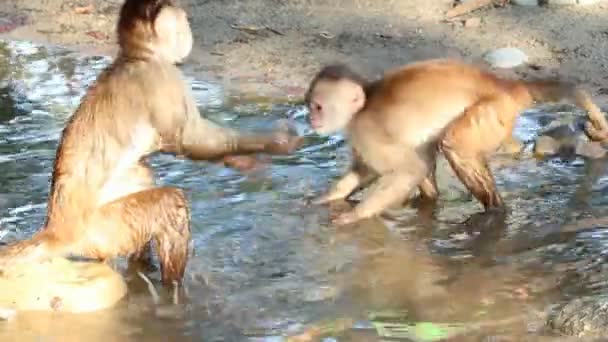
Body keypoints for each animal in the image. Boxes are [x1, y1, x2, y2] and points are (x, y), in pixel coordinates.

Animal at [0, 0, 304, 284]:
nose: (189, 29)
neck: (137, 57)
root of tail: (56, 230)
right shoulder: (162, 77)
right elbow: (187, 140)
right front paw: (275, 142)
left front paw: (243, 160)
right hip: (101, 230)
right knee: (170, 202)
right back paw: (173, 288)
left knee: (142, 173)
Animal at [304, 58, 608, 226]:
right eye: (309, 105)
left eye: (318, 107)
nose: (310, 119)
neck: (361, 108)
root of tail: (506, 85)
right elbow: (365, 171)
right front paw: (327, 198)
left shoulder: (367, 130)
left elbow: (408, 170)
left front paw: (355, 216)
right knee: (427, 153)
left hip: (494, 111)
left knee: (453, 144)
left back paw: (494, 214)